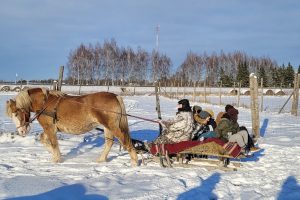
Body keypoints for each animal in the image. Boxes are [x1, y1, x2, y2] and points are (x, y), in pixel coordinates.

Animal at [5, 87, 138, 166]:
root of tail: (115, 96)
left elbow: (54, 144)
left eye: (16, 113)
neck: (44, 103)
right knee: (109, 143)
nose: (21, 131)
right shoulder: (50, 129)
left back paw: (134, 162)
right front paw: (56, 156)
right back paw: (101, 160)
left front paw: (57, 159)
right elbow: (44, 140)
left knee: (126, 141)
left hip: (112, 126)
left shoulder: (50, 128)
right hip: (107, 127)